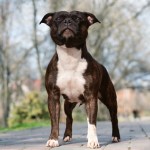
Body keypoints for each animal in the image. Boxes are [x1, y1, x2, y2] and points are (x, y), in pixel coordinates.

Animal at [39, 10, 119, 149]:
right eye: (58, 19)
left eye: (77, 19)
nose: (67, 21)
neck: (70, 55)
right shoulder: (53, 96)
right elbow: (54, 120)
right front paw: (53, 140)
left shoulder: (91, 96)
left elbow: (92, 122)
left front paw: (93, 141)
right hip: (68, 102)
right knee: (69, 117)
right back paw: (67, 136)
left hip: (109, 98)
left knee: (113, 116)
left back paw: (115, 136)